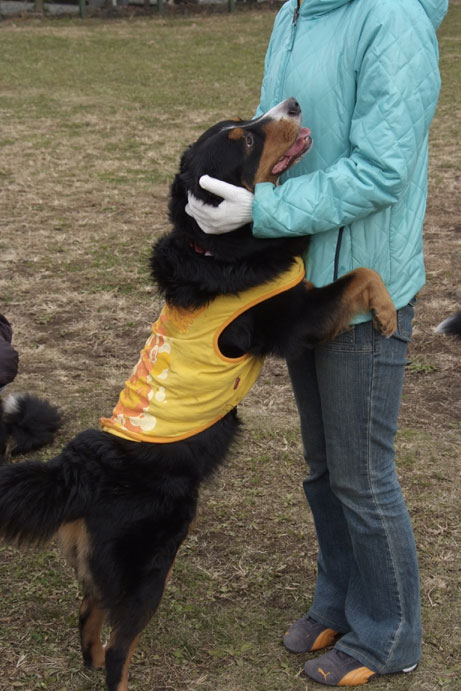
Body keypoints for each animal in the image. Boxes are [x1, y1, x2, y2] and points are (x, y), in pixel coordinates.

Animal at [0, 97, 396, 691]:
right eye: (247, 140)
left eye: (250, 119)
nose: (292, 102)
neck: (214, 246)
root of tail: (80, 467)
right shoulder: (292, 319)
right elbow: (360, 276)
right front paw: (390, 314)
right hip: (151, 563)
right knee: (119, 644)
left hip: (106, 564)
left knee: (88, 612)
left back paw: (88, 660)